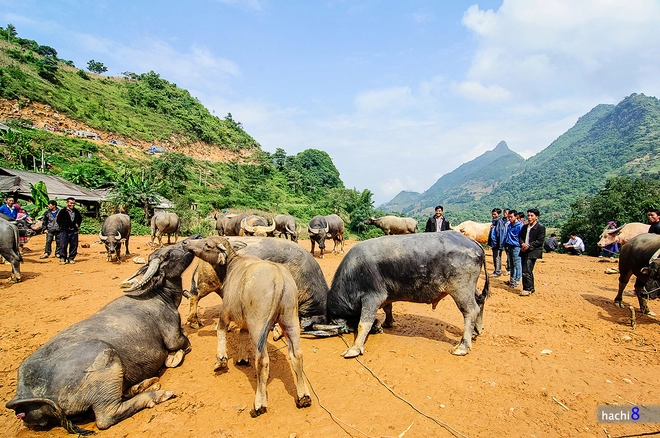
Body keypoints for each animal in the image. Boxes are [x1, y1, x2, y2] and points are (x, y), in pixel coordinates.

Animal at [5, 243, 196, 434]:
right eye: (168, 254)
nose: (191, 240)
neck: (158, 295)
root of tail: (25, 392)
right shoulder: (173, 335)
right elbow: (184, 343)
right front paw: (173, 357)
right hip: (107, 362)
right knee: (107, 415)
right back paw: (157, 393)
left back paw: (142, 385)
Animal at [326, 231, 488, 358]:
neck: (352, 274)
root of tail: (473, 243)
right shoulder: (386, 296)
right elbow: (388, 308)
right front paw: (387, 323)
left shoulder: (371, 297)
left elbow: (363, 323)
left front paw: (353, 349)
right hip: (470, 288)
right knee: (480, 301)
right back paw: (476, 331)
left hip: (461, 289)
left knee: (470, 311)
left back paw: (462, 347)